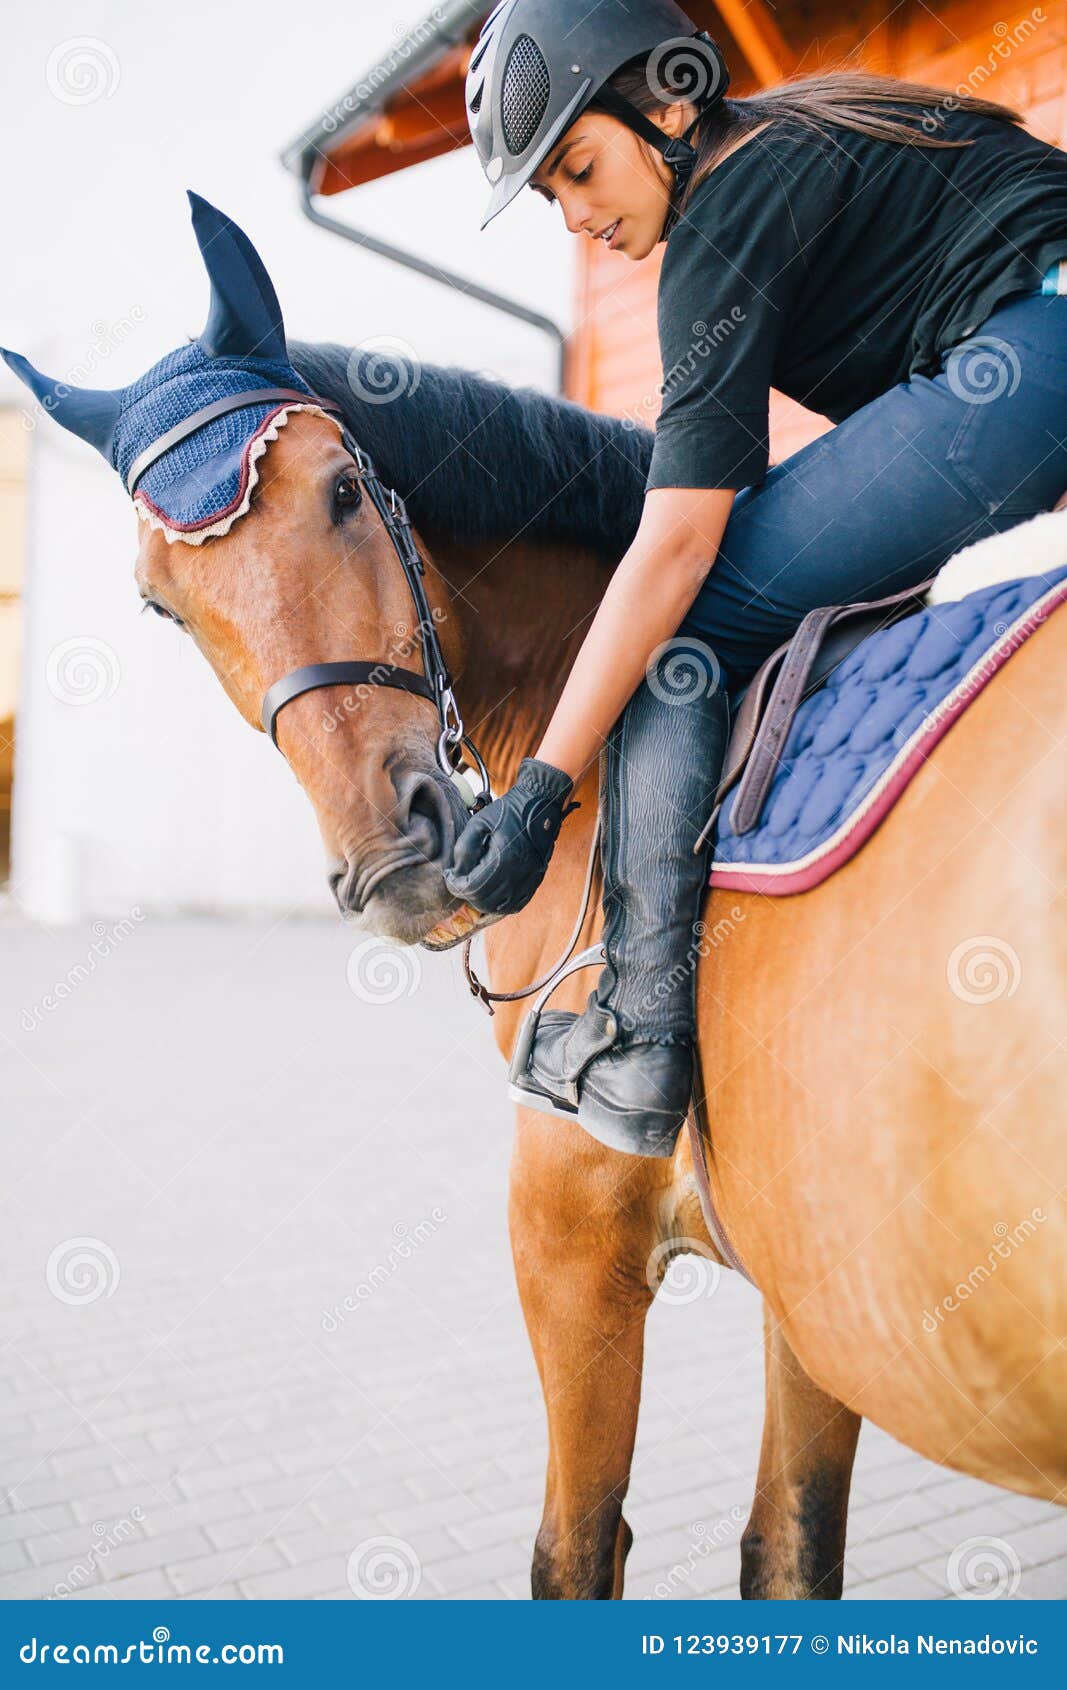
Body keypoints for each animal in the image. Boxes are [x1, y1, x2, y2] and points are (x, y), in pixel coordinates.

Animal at [127, 363, 1067, 1588]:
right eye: (164, 605)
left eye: (343, 491)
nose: (394, 857)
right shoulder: (813, 1288)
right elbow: (789, 1548)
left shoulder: (569, 1233)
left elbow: (576, 1550)